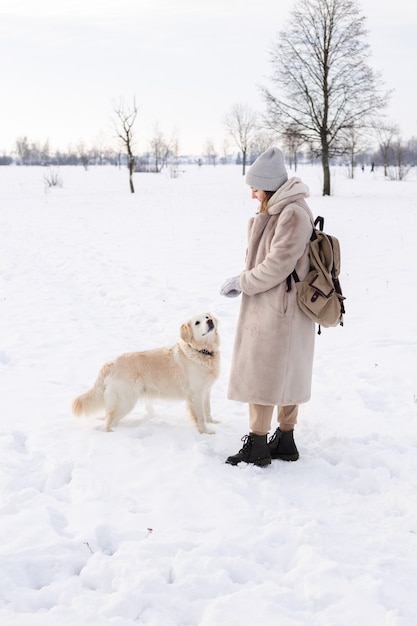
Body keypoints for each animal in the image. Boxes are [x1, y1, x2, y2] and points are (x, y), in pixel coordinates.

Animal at [70, 314, 221, 432]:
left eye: (207, 317)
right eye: (197, 322)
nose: (210, 321)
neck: (202, 351)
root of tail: (112, 363)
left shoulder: (206, 391)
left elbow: (207, 410)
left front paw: (212, 422)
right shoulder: (195, 394)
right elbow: (200, 417)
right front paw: (206, 432)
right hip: (126, 400)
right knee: (108, 421)